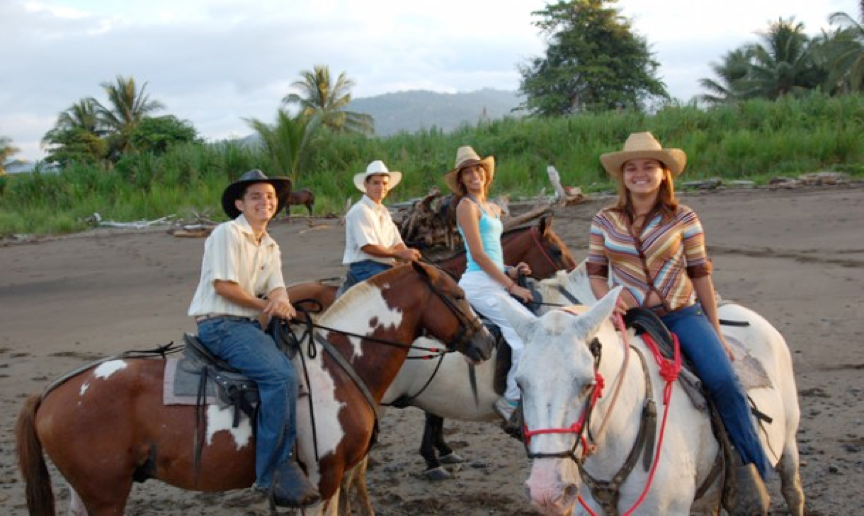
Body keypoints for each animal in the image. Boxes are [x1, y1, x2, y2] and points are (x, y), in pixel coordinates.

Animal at [16, 264, 496, 512]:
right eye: (457, 293)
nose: (487, 342)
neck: (340, 362)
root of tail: (52, 393)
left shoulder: (334, 477)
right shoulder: (323, 476)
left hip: (87, 493)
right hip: (105, 493)